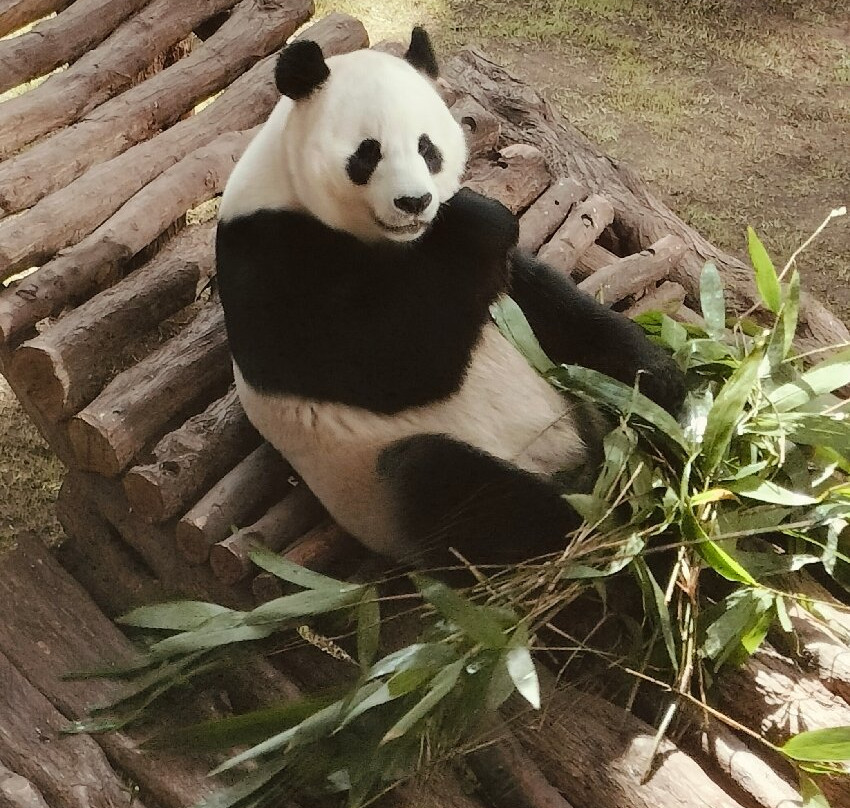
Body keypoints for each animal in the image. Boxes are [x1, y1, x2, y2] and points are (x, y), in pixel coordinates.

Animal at [216, 28, 685, 569]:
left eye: (428, 148)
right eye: (367, 153)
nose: (414, 202)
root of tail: (575, 460)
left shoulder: (486, 284)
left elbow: (546, 302)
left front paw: (661, 376)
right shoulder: (266, 256)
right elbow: (388, 360)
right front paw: (483, 218)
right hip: (381, 478)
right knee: (463, 492)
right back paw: (609, 522)